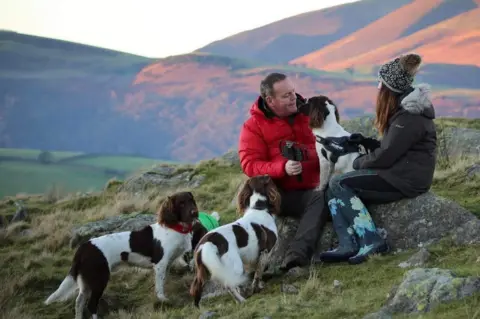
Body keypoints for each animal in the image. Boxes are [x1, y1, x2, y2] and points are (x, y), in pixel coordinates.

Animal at [188, 175, 280, 308]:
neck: (258, 208)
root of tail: (207, 243)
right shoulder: (265, 252)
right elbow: (258, 274)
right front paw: (256, 289)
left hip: (202, 270)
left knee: (196, 287)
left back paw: (198, 308)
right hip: (235, 265)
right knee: (228, 284)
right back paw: (241, 300)